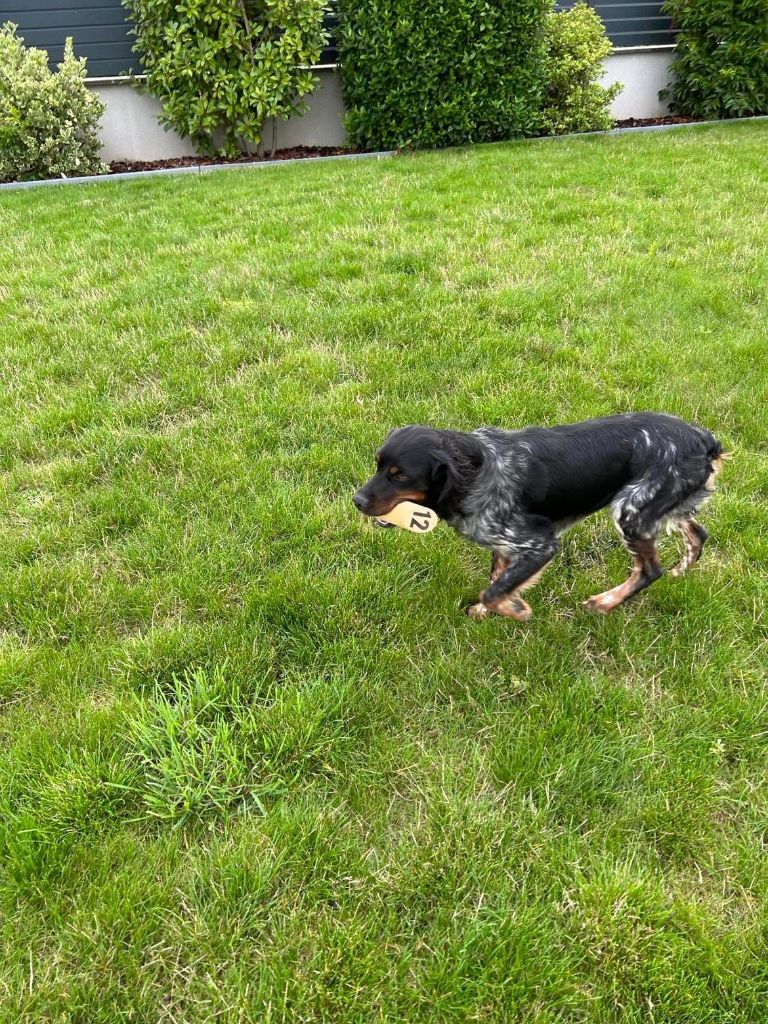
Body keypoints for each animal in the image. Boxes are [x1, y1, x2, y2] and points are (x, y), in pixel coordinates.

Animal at [356, 411, 729, 618]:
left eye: (400, 475)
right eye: (378, 464)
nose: (357, 500)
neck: (477, 470)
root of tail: (703, 440)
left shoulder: (540, 543)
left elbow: (494, 590)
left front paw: (515, 610)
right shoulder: (506, 546)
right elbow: (497, 582)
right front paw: (486, 611)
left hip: (631, 510)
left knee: (650, 570)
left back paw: (604, 603)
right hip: (662, 506)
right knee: (697, 534)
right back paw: (681, 571)